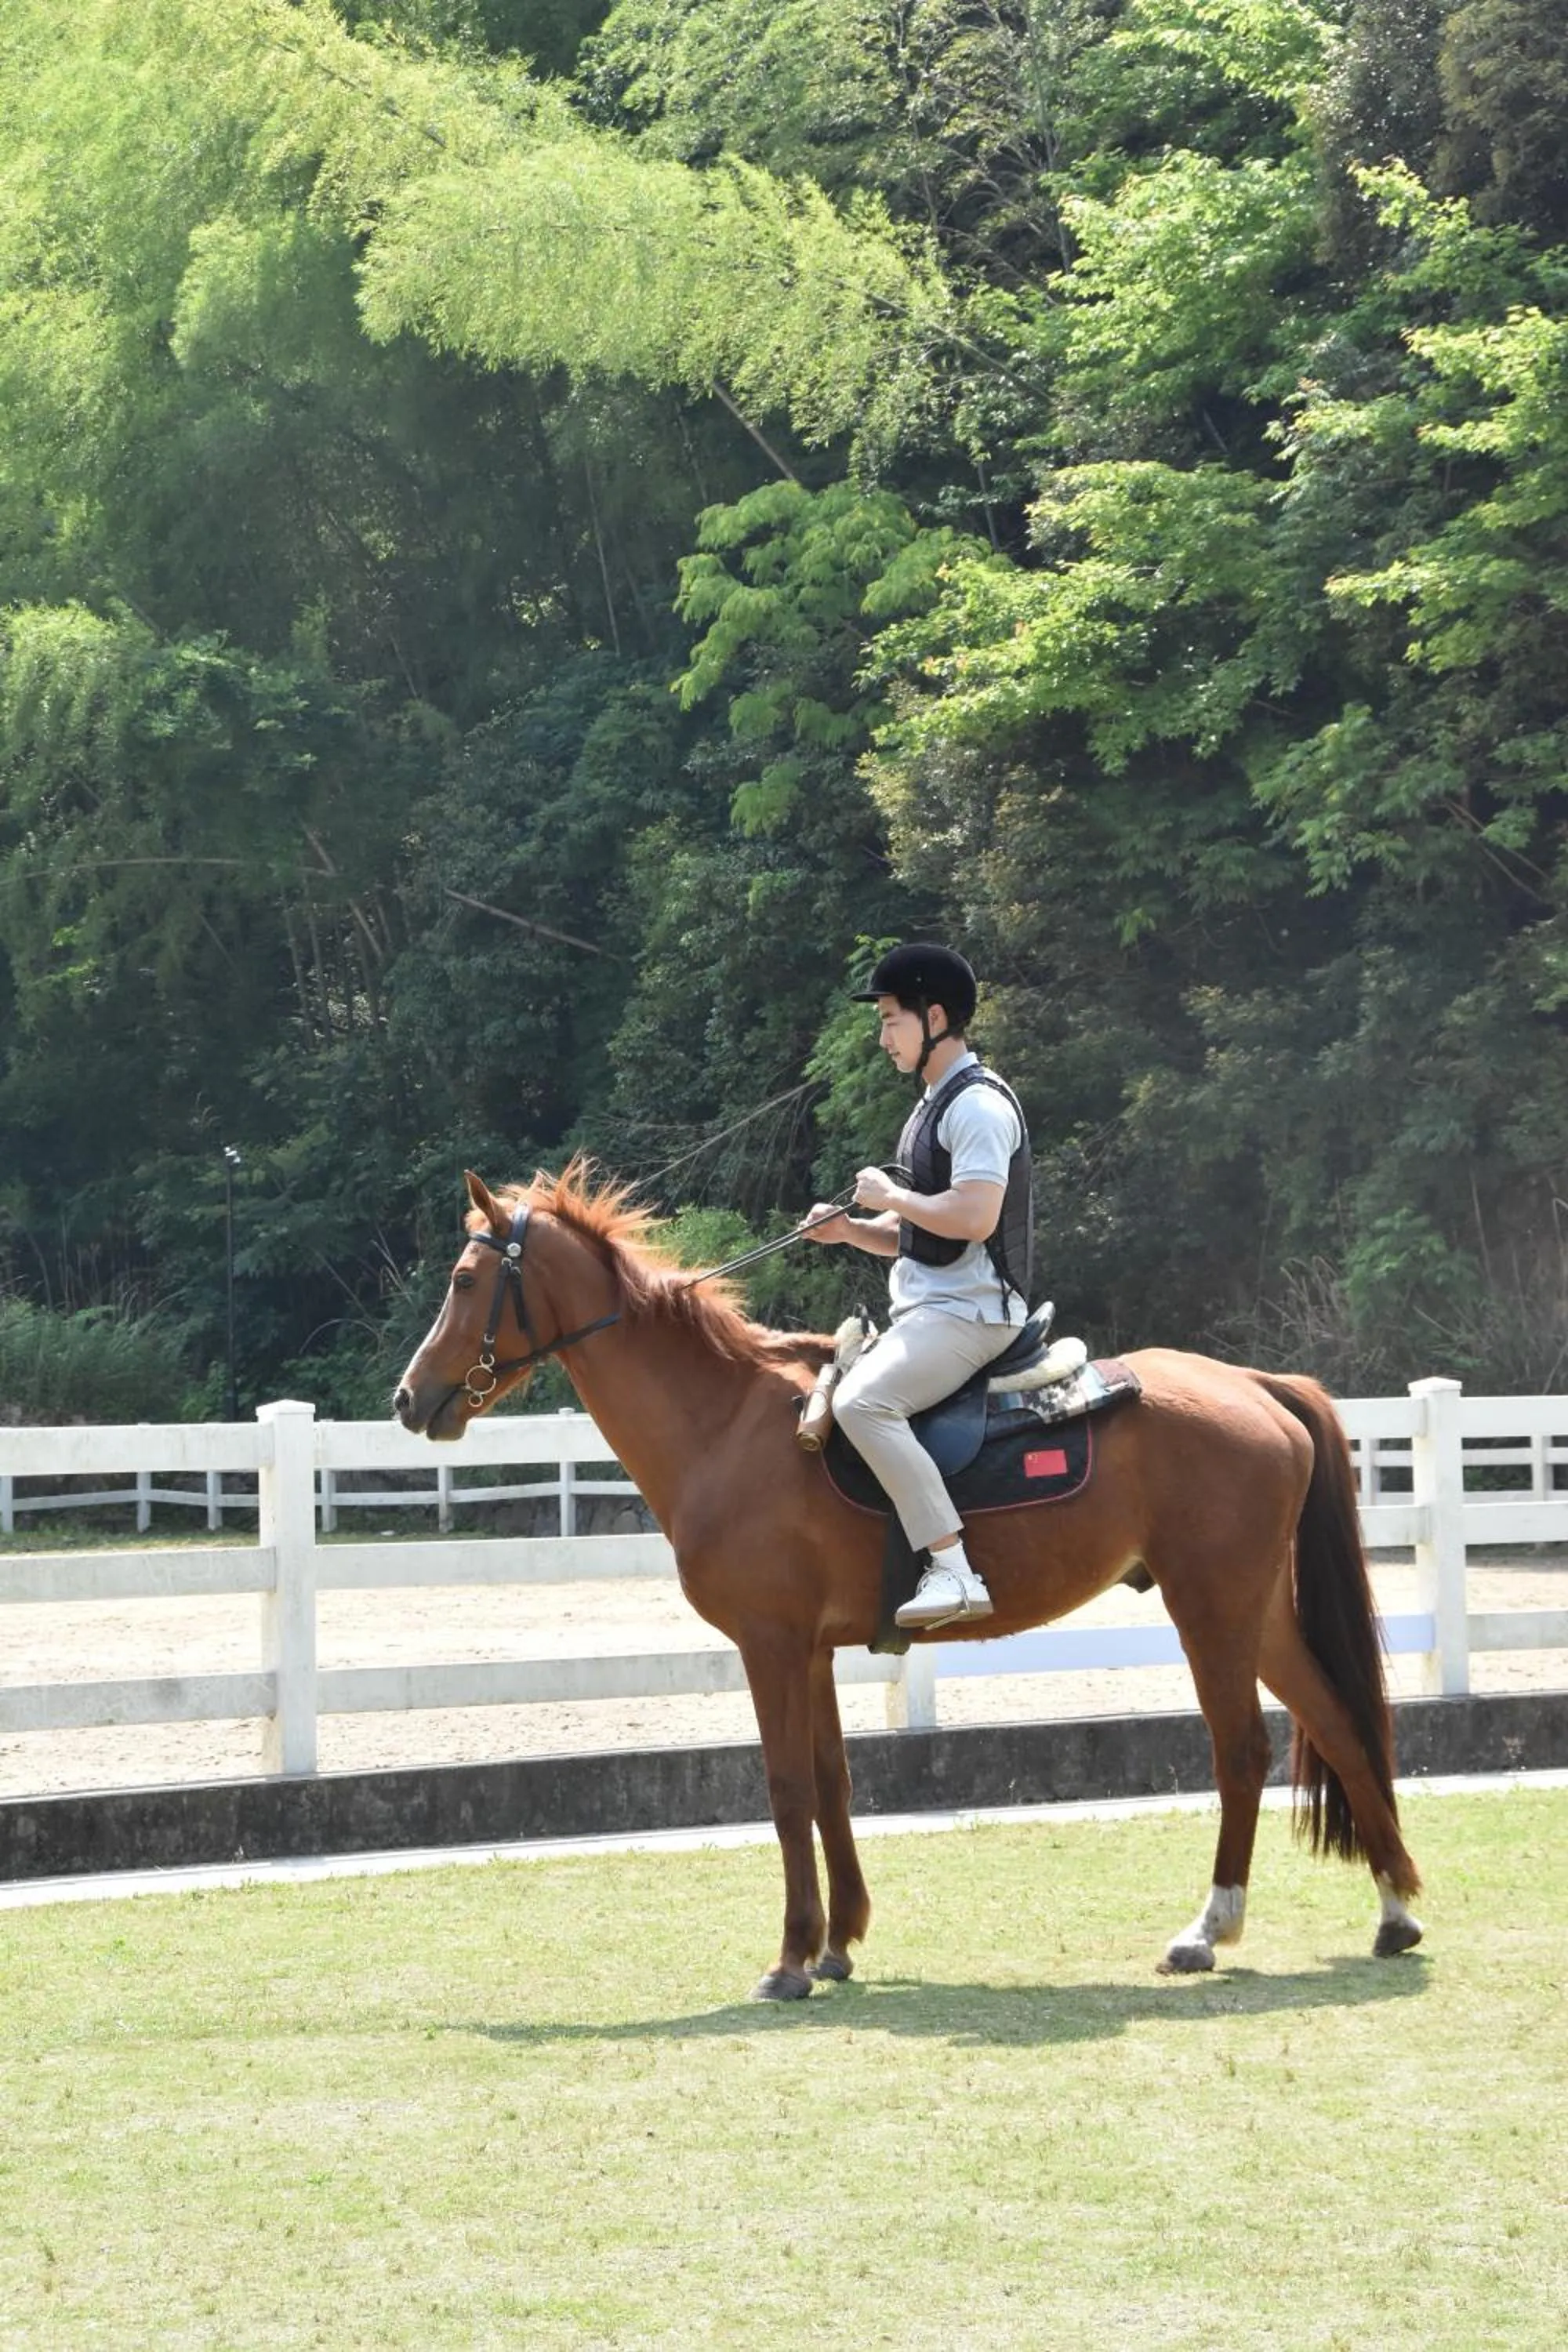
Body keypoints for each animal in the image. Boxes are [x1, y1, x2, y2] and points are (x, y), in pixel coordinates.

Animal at [393, 1160, 1424, 2000]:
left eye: (464, 1280)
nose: (408, 1399)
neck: (725, 1425)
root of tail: (1255, 1384)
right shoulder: (809, 1652)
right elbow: (832, 1782)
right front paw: (838, 1943)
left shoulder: (769, 1646)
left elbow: (785, 1791)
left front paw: (789, 1960)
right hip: (1256, 1611)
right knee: (1337, 1724)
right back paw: (1392, 1910)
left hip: (1209, 1607)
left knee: (1242, 1749)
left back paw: (1209, 1927)